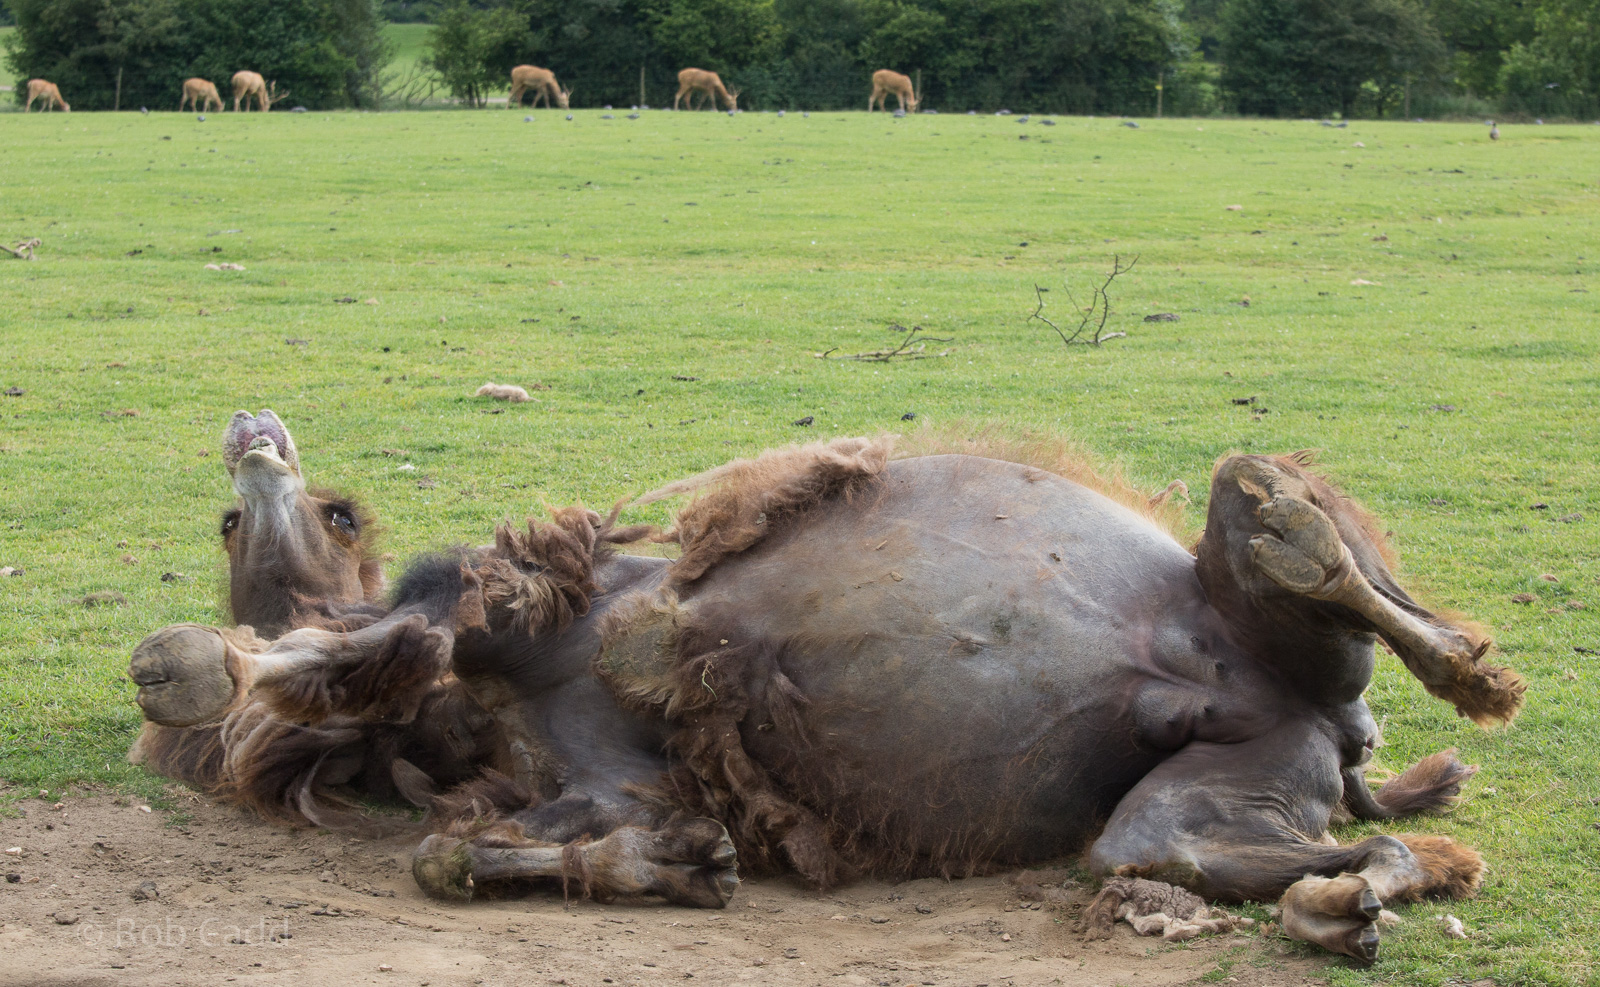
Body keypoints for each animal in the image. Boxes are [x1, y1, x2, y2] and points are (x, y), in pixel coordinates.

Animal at [128, 413, 1523, 962]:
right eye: (237, 519)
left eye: (334, 508)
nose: (254, 434)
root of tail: (1331, 730)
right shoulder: (594, 775)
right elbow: (455, 850)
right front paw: (685, 865)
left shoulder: (543, 593)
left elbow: (472, 624)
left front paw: (205, 669)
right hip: (1231, 781)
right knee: (1209, 850)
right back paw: (1348, 905)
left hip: (1282, 626)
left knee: (1302, 540)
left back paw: (1410, 626)